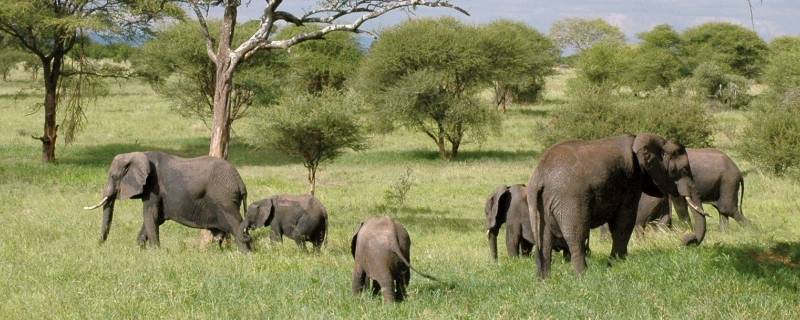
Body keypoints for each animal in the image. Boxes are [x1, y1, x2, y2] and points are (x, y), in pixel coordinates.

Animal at [83, 151, 252, 251]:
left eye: (113, 176)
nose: (99, 246)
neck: (137, 155)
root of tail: (240, 182)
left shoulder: (153, 188)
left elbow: (150, 215)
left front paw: (155, 252)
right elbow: (155, 218)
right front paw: (140, 249)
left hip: (225, 199)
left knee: (236, 225)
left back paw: (246, 254)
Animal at [528, 134, 708, 278]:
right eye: (683, 170)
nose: (687, 241)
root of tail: (540, 176)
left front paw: (617, 263)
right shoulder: (631, 180)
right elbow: (625, 221)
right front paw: (617, 264)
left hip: (540, 203)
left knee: (545, 240)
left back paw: (544, 279)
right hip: (570, 200)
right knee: (576, 235)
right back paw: (584, 276)